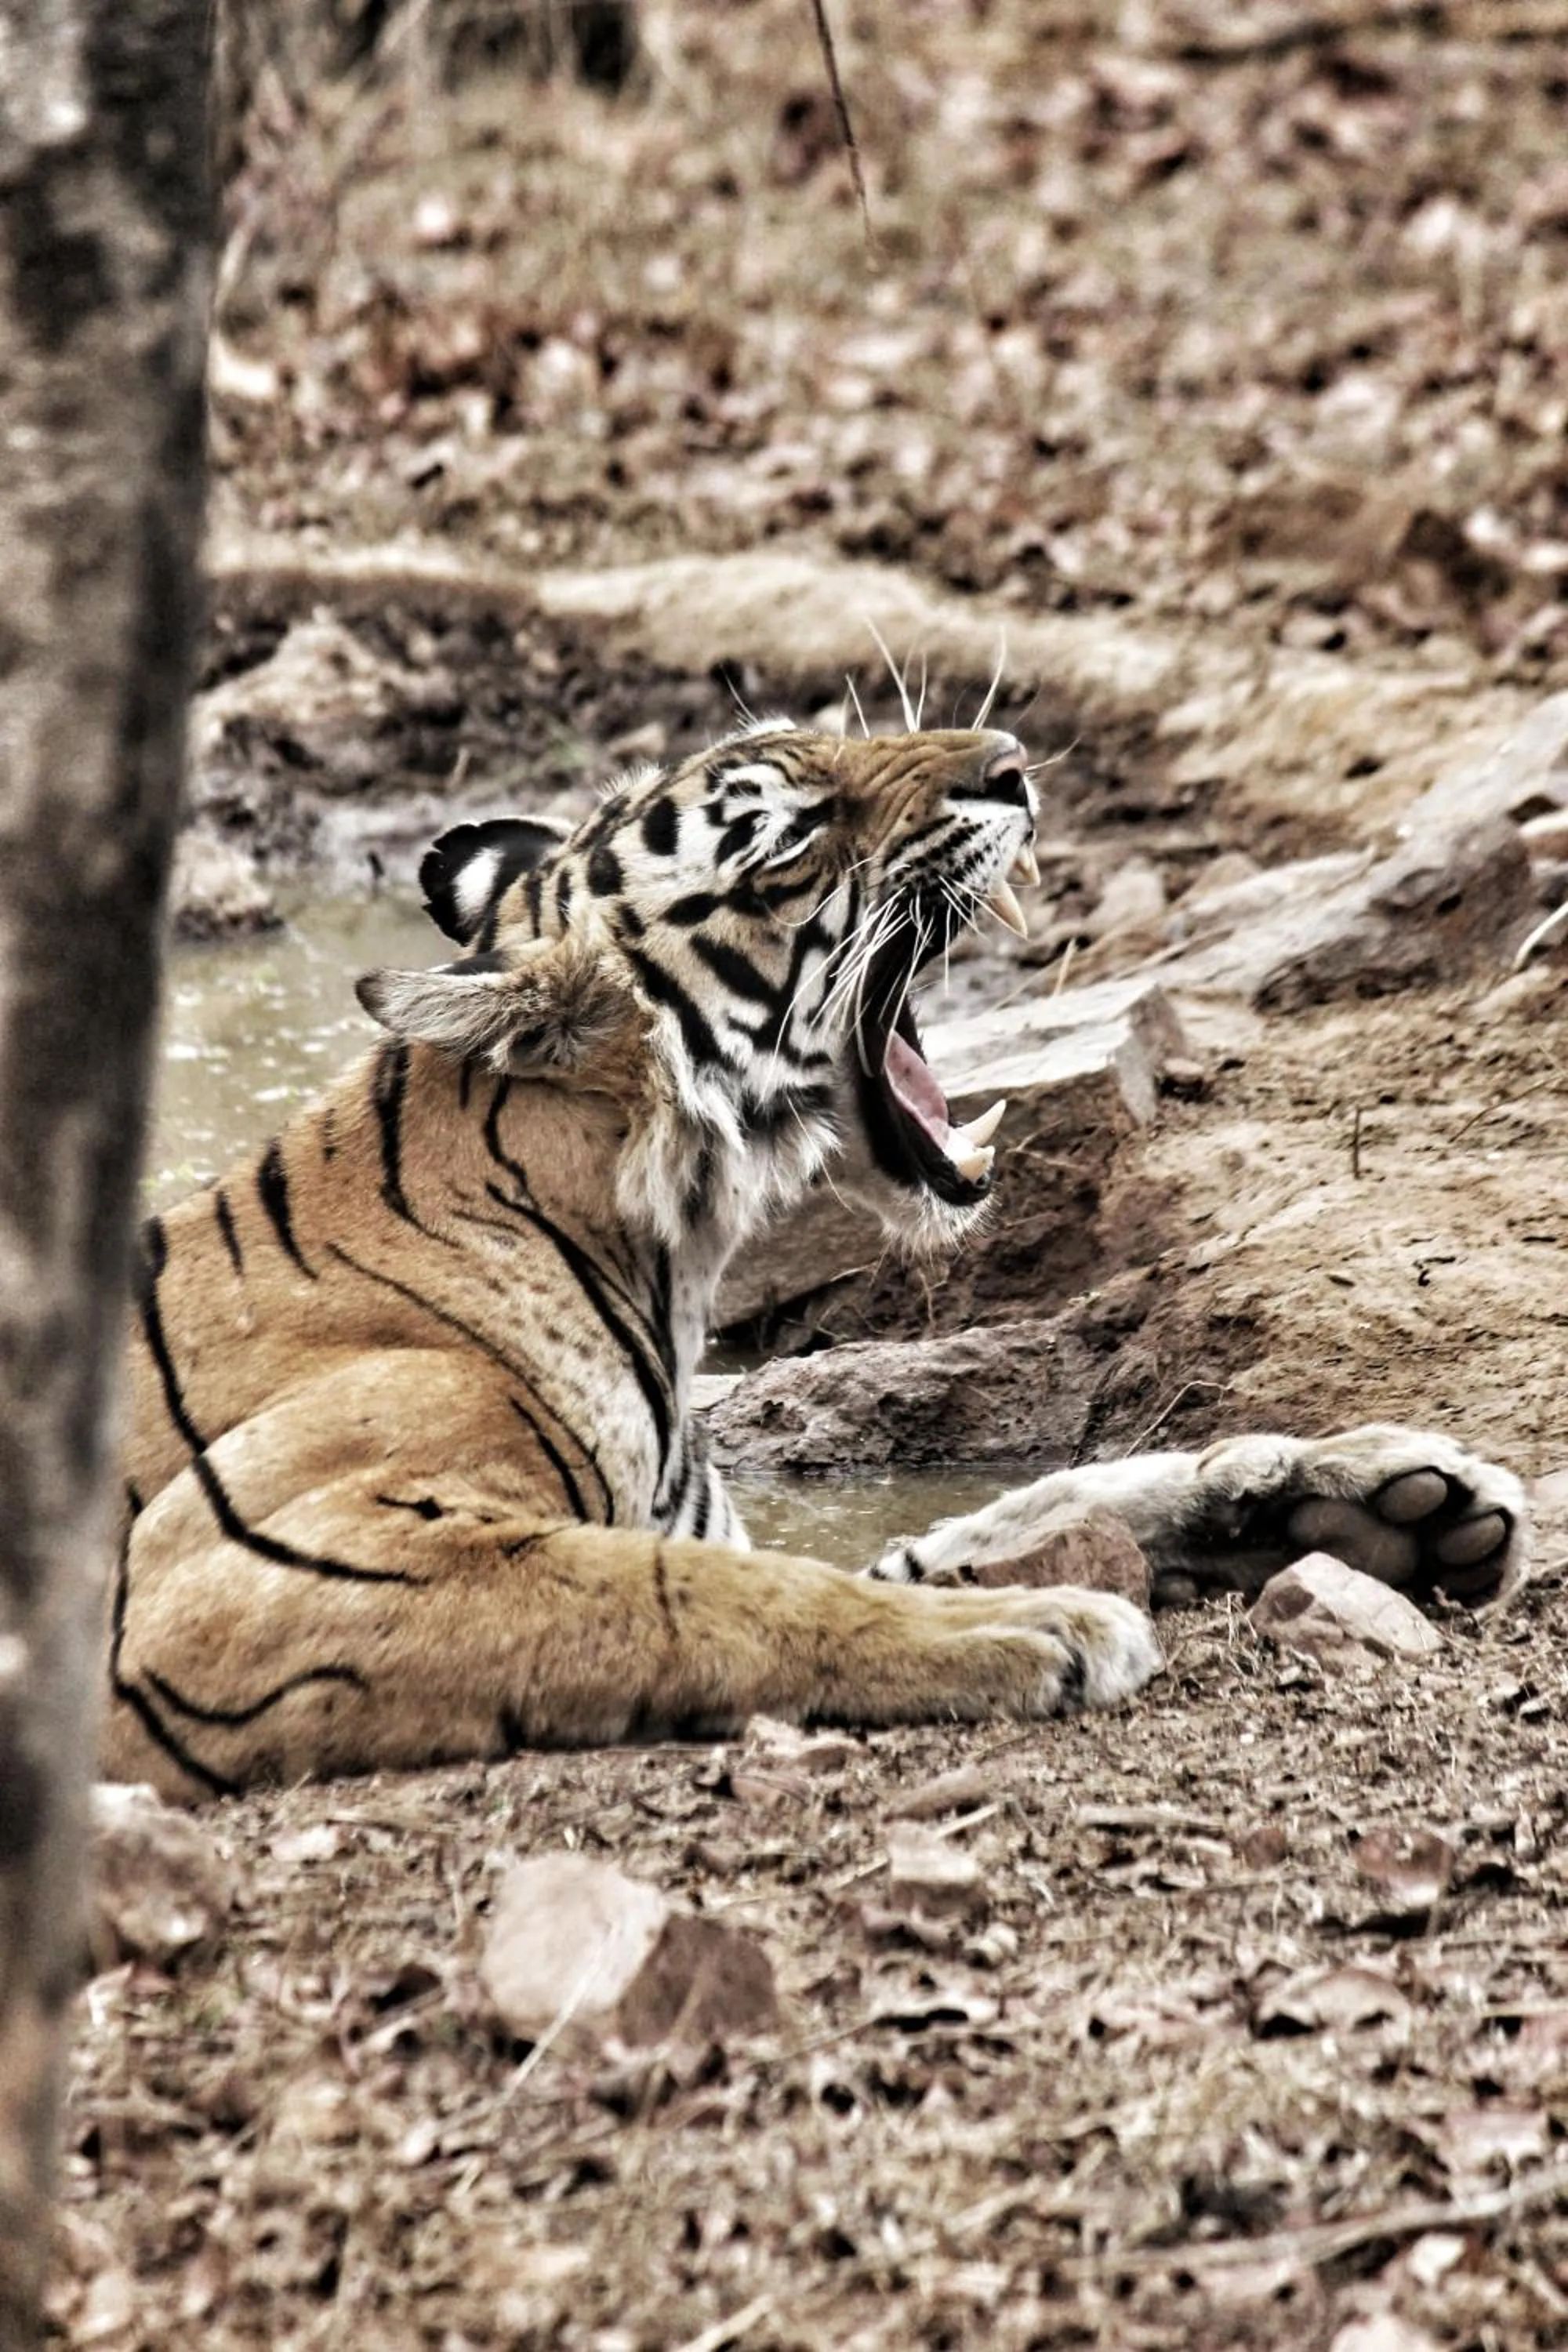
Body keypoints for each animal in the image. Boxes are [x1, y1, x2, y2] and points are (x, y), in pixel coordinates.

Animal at [107, 721, 1531, 1799]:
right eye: (789, 834)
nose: (1013, 761)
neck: (655, 1253)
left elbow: (1046, 1501)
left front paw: (1368, 1494)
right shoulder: (242, 1568)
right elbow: (692, 1592)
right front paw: (1035, 1625)